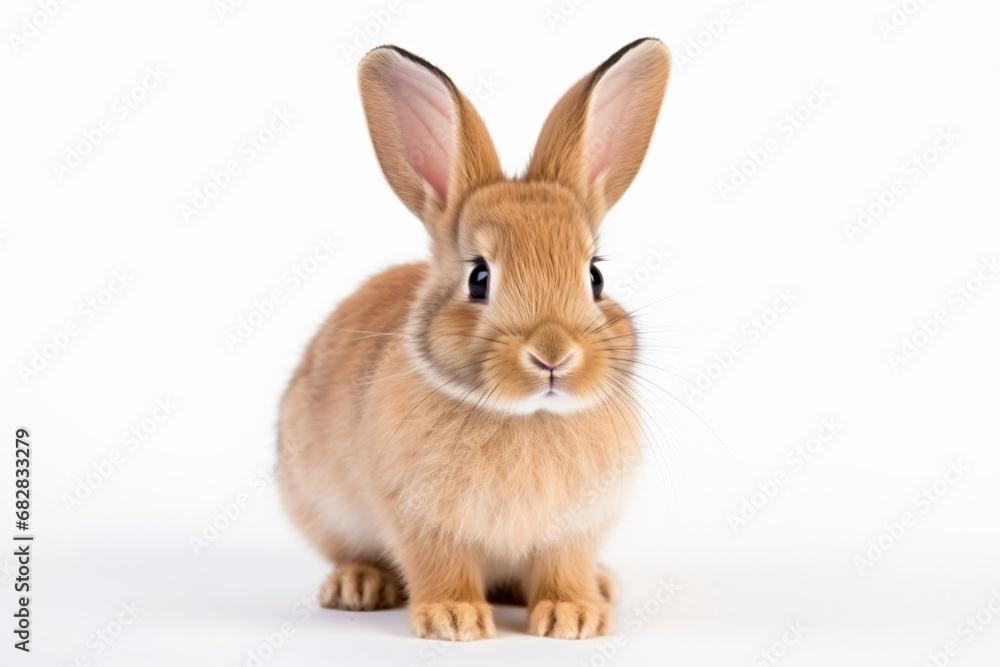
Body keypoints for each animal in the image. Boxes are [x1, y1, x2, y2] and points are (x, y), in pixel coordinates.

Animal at [277, 37, 671, 641]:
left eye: (595, 277)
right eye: (479, 278)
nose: (552, 356)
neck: (529, 416)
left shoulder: (574, 529)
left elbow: (563, 568)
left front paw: (574, 617)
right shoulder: (421, 519)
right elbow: (441, 567)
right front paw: (454, 620)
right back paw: (357, 585)